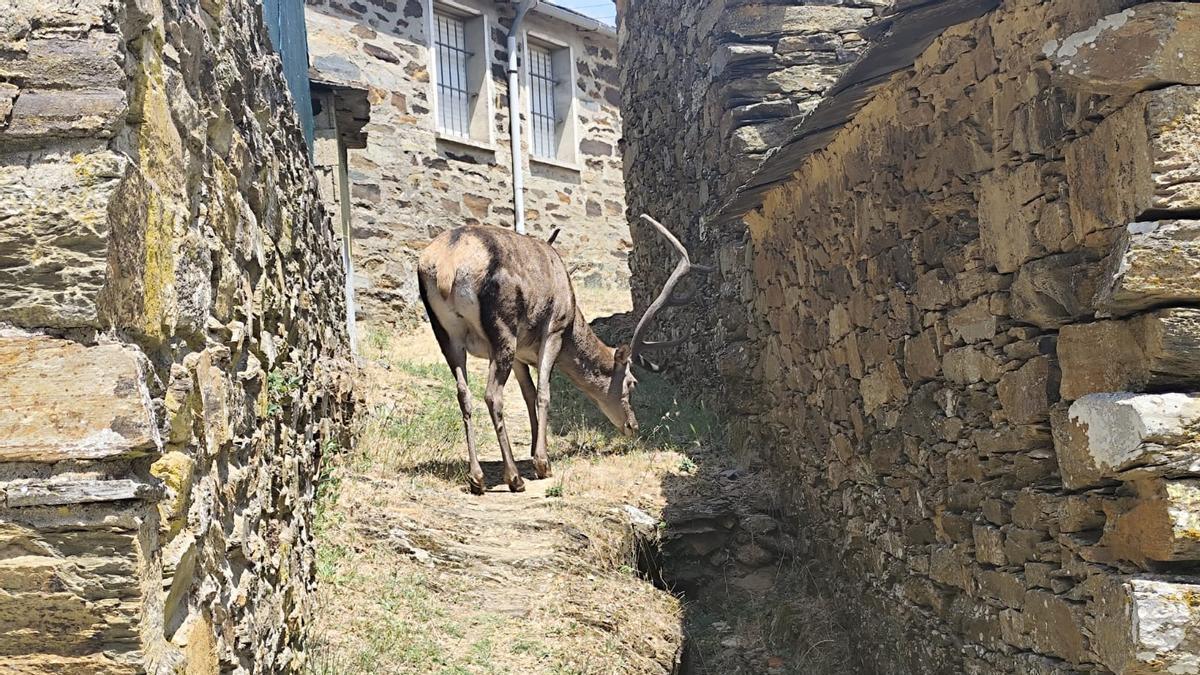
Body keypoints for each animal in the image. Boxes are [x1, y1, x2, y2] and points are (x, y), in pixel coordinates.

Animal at [416, 215, 709, 495]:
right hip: (502, 329)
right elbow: (544, 393)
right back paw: (514, 478)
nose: (632, 426)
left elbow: (528, 394)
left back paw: (476, 477)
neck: (572, 320)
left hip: (446, 334)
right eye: (632, 382)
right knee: (492, 395)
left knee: (463, 394)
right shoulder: (553, 329)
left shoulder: (521, 352)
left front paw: (535, 448)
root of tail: (447, 266)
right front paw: (543, 463)